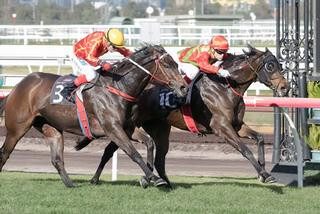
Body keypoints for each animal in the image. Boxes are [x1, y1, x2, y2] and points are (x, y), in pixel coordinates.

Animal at [0, 44, 188, 187]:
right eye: (167, 65)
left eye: (175, 64)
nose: (183, 87)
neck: (118, 88)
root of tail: (17, 87)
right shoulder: (112, 129)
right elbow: (133, 153)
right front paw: (155, 178)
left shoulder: (127, 128)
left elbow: (149, 143)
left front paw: (148, 178)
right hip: (17, 128)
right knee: (5, 152)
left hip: (50, 128)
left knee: (57, 159)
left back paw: (71, 184)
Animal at [77, 45, 290, 187]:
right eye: (270, 66)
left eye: (279, 64)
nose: (284, 87)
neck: (225, 87)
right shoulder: (222, 128)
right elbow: (245, 150)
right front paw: (265, 174)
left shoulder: (237, 125)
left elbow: (260, 138)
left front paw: (263, 172)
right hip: (124, 125)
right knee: (111, 149)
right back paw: (97, 179)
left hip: (158, 128)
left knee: (158, 158)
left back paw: (161, 181)